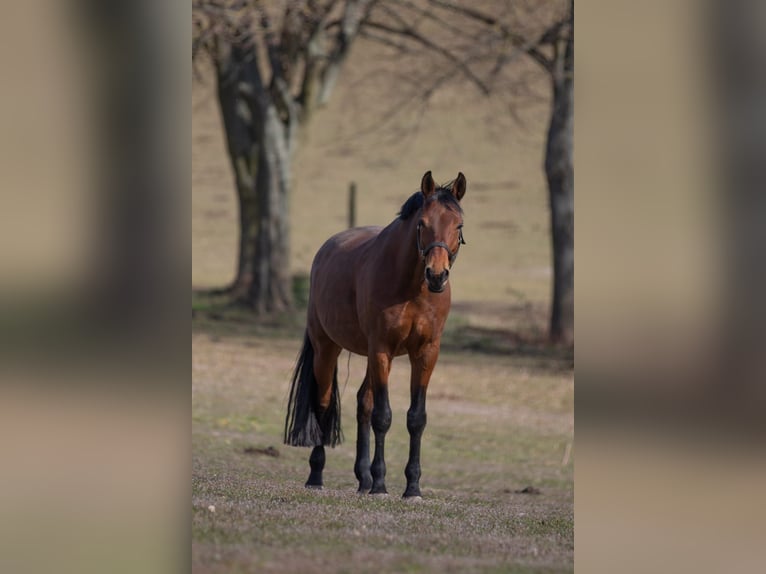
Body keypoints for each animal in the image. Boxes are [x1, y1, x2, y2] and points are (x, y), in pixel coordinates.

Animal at [284, 171, 468, 500]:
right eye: (422, 223)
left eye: (458, 225)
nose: (437, 275)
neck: (410, 286)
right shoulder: (381, 348)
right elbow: (383, 416)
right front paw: (381, 484)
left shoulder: (426, 353)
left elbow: (415, 418)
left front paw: (412, 487)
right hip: (327, 348)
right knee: (323, 403)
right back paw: (317, 476)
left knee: (363, 403)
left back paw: (363, 479)